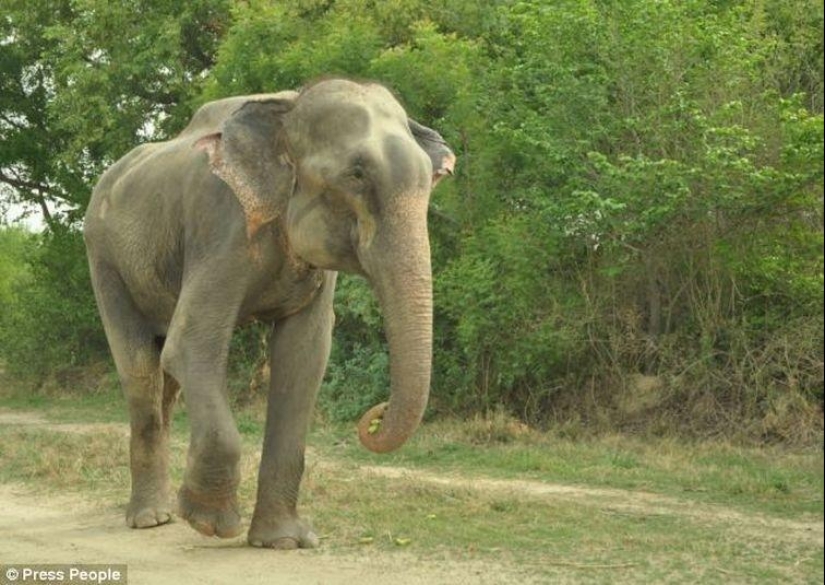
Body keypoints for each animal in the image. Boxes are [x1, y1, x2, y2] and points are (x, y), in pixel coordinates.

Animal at [85, 77, 450, 548]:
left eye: (429, 181)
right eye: (356, 174)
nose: (375, 415)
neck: (287, 107)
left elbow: (304, 358)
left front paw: (285, 542)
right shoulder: (222, 222)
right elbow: (190, 346)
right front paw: (209, 523)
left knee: (163, 378)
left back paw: (160, 514)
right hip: (104, 259)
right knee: (141, 368)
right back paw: (150, 518)